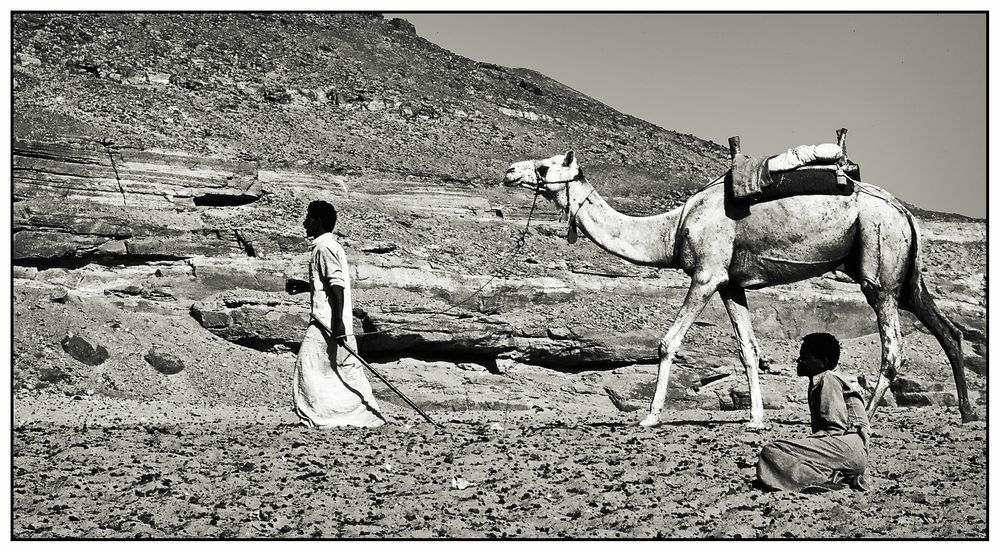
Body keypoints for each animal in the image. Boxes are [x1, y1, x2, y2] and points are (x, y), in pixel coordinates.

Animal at [504, 148, 972, 426]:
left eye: (545, 166)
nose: (509, 171)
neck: (672, 228)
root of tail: (905, 212)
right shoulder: (732, 284)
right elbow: (749, 350)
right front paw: (755, 419)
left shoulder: (707, 274)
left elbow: (668, 341)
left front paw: (650, 417)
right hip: (906, 275)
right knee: (948, 331)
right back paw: (967, 412)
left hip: (880, 264)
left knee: (893, 347)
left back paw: (867, 419)